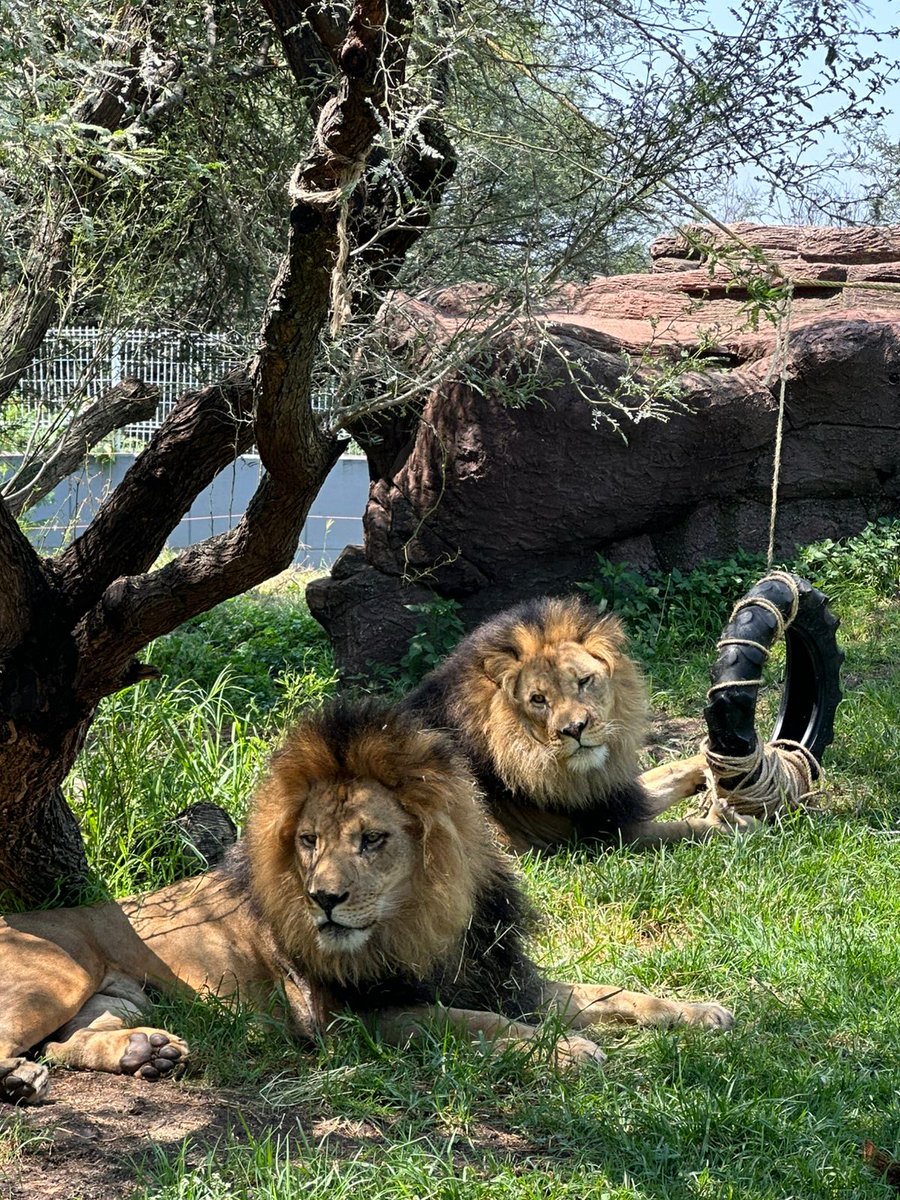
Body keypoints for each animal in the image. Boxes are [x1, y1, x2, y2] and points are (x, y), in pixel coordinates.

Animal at [0, 699, 732, 1106]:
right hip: (54, 974)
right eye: (307, 841)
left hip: (117, 997)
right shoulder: (358, 1019)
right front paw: (565, 1052)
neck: (421, 920)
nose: (324, 899)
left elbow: (615, 993)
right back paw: (21, 1083)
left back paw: (144, 1053)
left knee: (69, 1044)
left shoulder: (503, 978)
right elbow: (468, 1023)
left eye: (371, 839)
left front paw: (703, 1012)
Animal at [400, 595, 728, 853]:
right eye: (538, 700)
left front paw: (712, 762)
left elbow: (669, 770)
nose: (574, 729)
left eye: (584, 681)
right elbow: (688, 830)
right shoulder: (602, 836)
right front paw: (728, 822)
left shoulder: (611, 794)